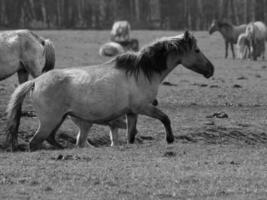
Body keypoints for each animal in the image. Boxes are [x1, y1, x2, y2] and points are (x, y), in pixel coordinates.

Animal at [6, 30, 215, 151]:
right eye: (197, 50)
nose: (211, 69)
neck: (142, 72)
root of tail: (35, 82)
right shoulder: (144, 107)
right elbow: (165, 118)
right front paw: (170, 139)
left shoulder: (132, 113)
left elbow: (131, 135)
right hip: (50, 121)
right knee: (35, 143)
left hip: (59, 119)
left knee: (51, 139)